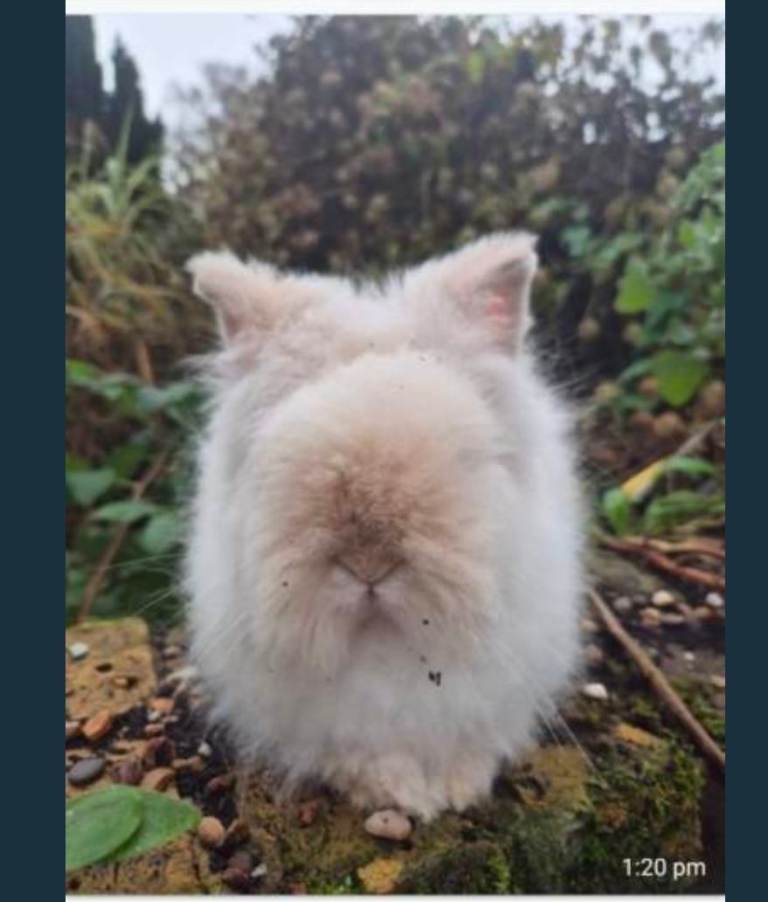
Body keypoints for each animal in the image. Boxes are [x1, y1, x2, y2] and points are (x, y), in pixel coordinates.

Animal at [184, 233, 583, 821]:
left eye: (466, 451)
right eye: (278, 446)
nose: (369, 563)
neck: (386, 652)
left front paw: (461, 788)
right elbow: (366, 757)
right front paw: (402, 796)